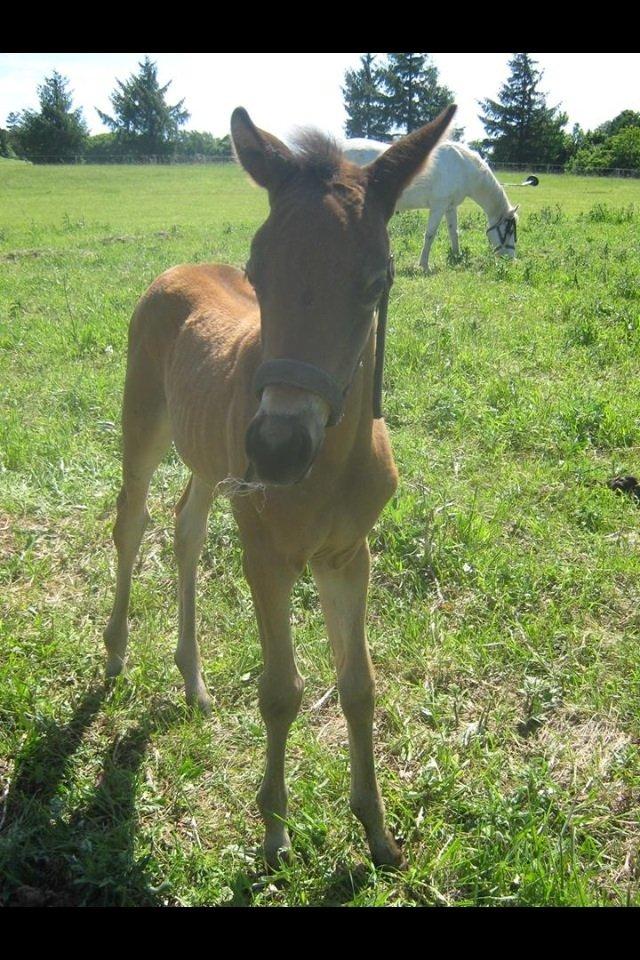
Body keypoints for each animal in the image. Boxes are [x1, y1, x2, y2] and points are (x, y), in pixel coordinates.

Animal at [104, 105, 456, 872]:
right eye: (256, 271)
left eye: (375, 281)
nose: (275, 448)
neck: (328, 469)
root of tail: (176, 270)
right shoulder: (265, 555)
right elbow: (280, 691)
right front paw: (272, 830)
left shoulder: (347, 554)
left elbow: (358, 686)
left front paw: (378, 831)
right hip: (144, 424)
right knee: (131, 522)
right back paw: (115, 652)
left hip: (212, 466)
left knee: (185, 526)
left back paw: (193, 680)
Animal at [342, 137, 516, 270]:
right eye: (508, 231)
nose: (511, 260)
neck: (462, 167)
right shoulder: (438, 206)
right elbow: (430, 235)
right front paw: (424, 265)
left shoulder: (450, 207)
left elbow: (454, 232)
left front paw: (457, 257)